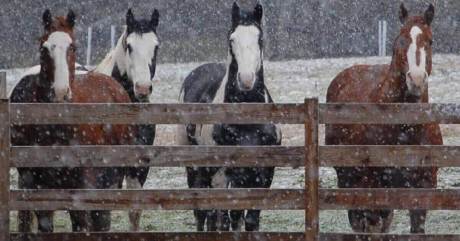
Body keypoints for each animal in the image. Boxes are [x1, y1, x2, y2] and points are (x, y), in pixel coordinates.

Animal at [10, 8, 135, 232]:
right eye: (43, 48)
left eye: (73, 47)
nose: (60, 93)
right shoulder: (36, 183)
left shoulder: (82, 184)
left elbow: (81, 223)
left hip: (110, 179)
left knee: (101, 220)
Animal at [177, 1, 280, 232]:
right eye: (232, 39)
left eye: (260, 39)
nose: (246, 79)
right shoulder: (222, 175)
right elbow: (223, 220)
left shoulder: (263, 174)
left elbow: (249, 221)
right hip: (196, 169)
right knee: (203, 214)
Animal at [326, 3, 440, 233]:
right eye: (401, 40)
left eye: (430, 41)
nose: (416, 80)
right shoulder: (371, 187)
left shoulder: (422, 190)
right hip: (350, 180)